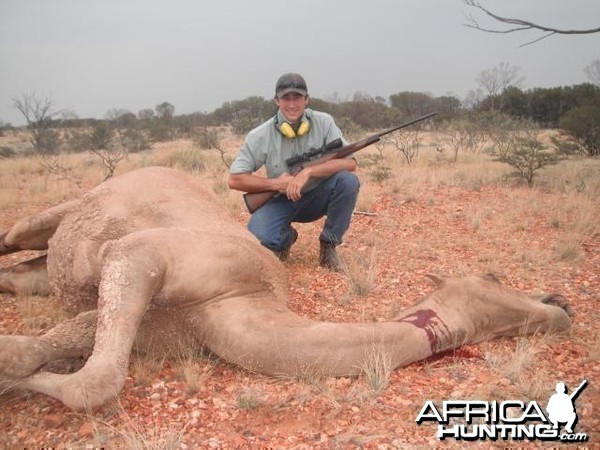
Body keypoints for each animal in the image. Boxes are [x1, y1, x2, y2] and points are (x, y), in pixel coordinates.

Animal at [0, 166, 572, 412]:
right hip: (61, 212)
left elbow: (63, 358)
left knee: (23, 273)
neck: (234, 301)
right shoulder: (137, 255)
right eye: (494, 278)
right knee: (14, 236)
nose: (560, 304)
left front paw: (21, 371)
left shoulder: (156, 326)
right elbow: (92, 380)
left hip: (50, 264)